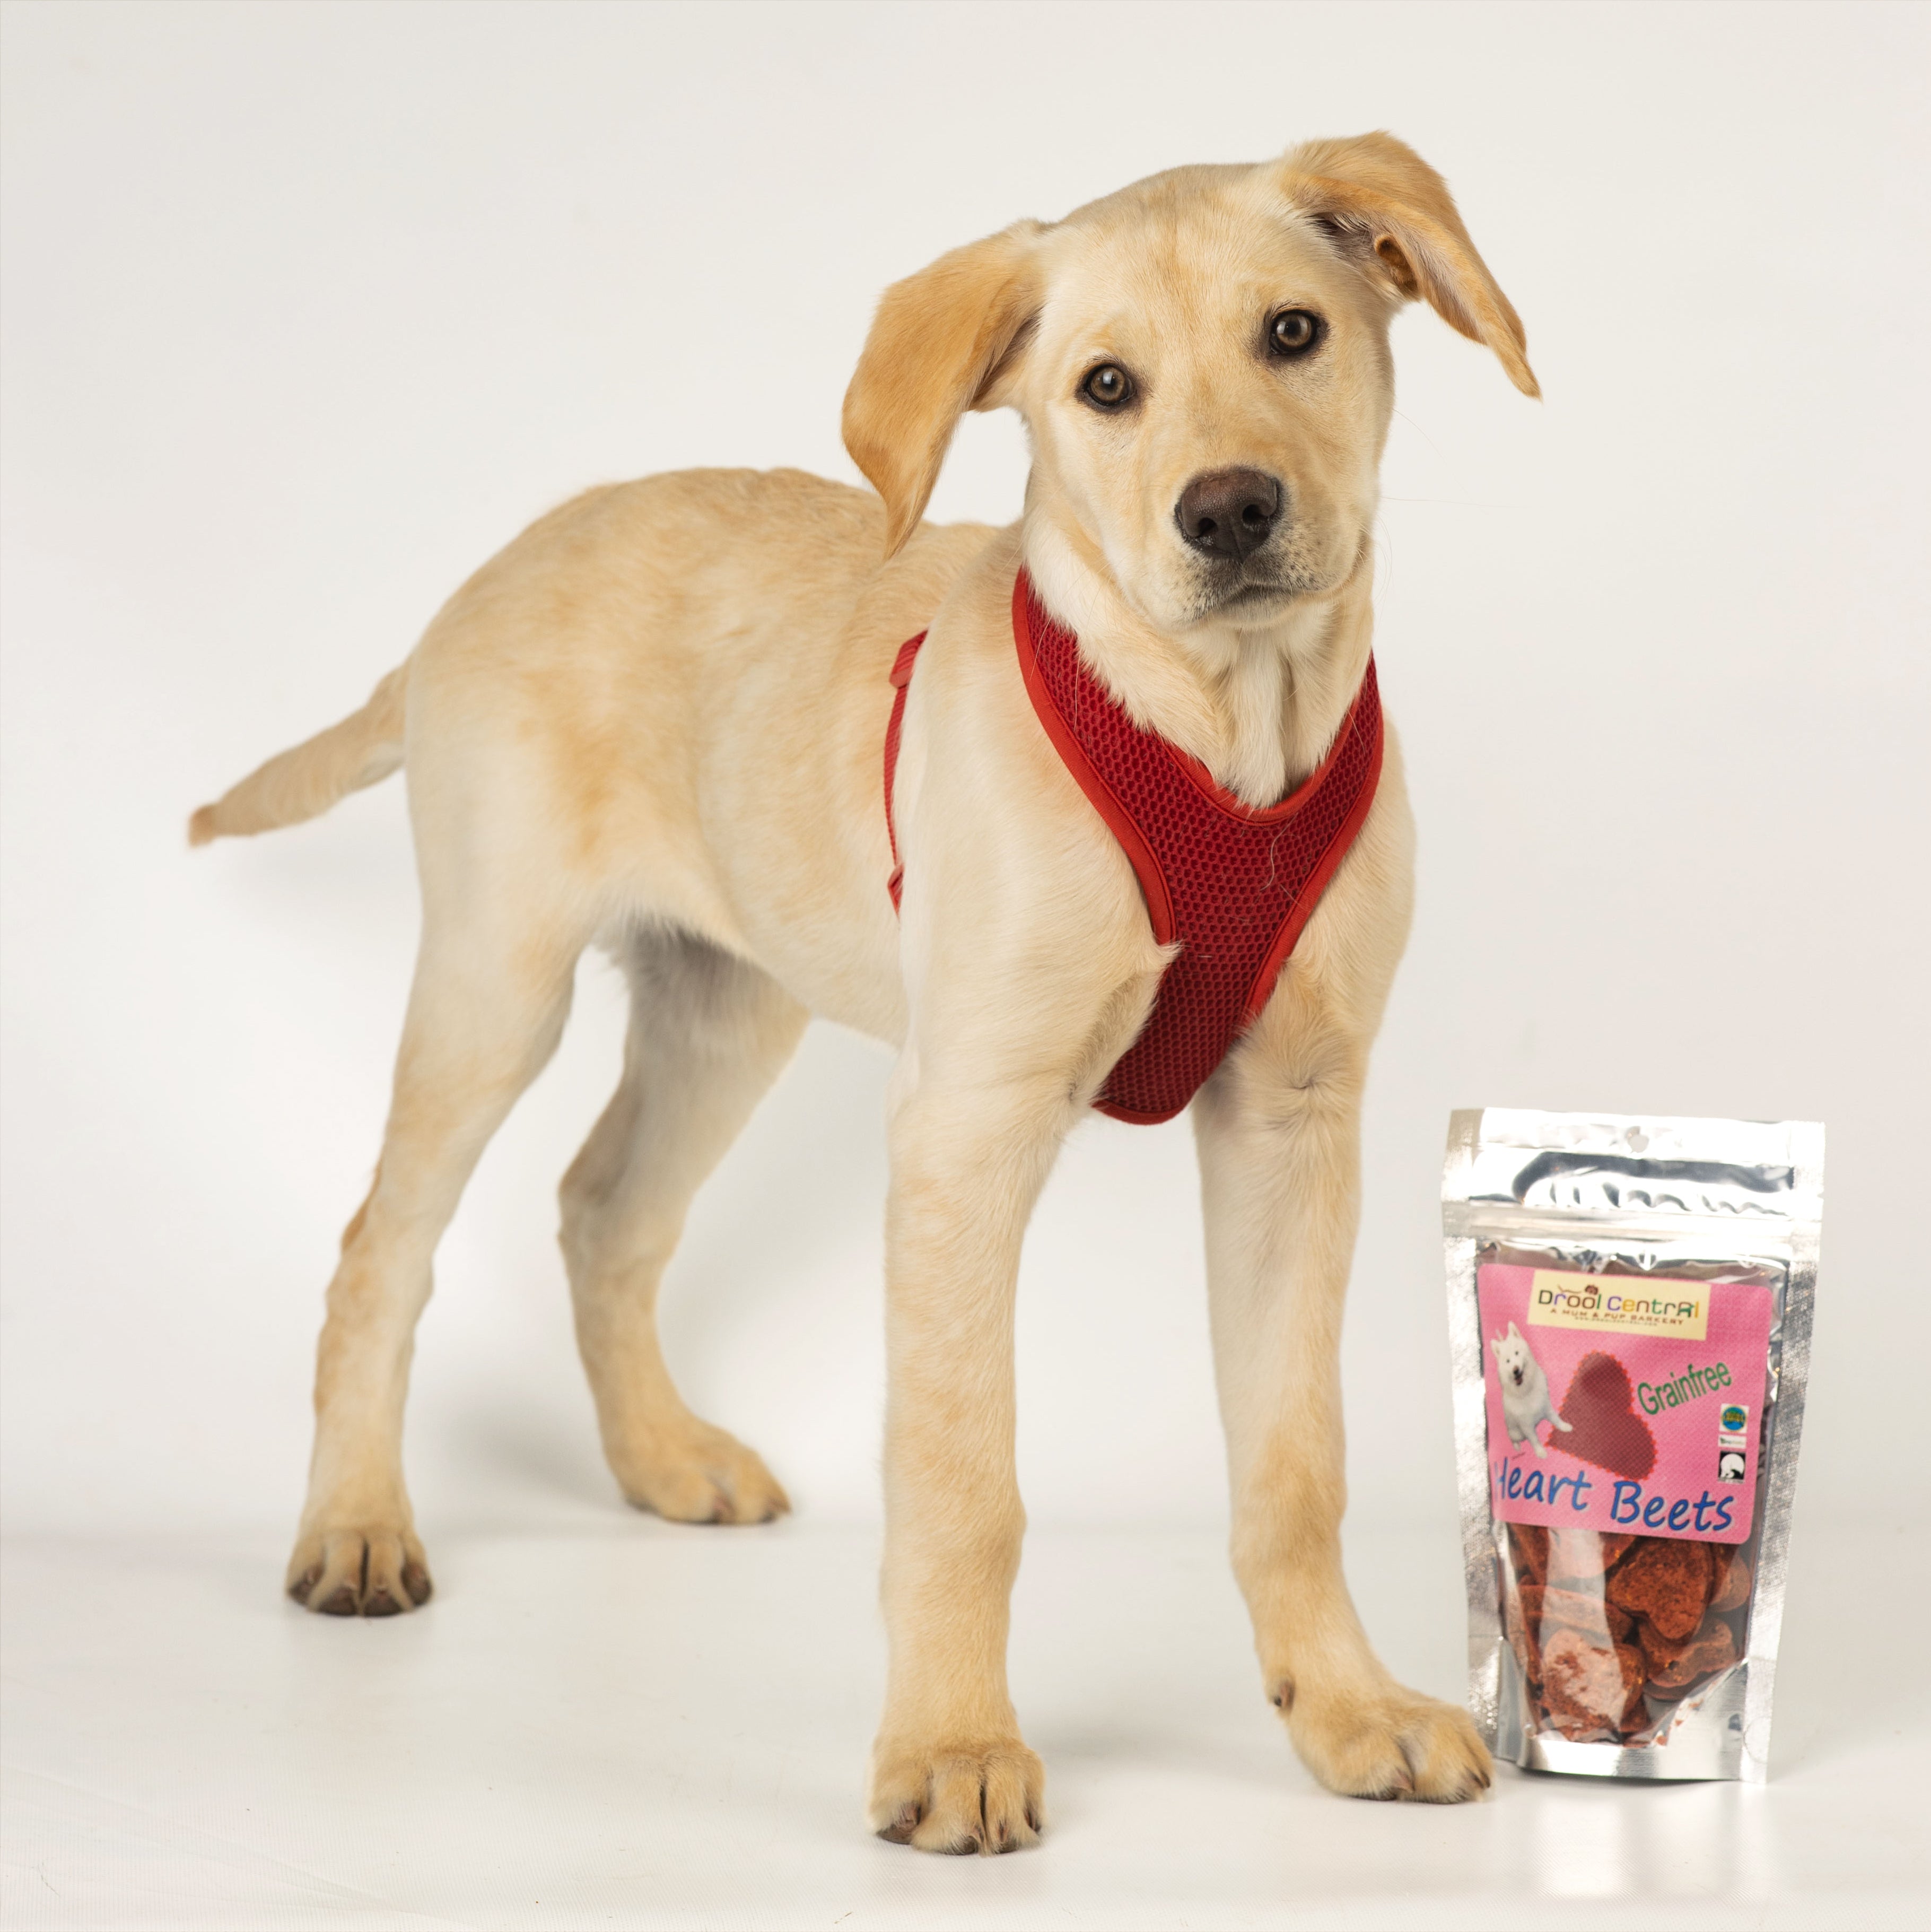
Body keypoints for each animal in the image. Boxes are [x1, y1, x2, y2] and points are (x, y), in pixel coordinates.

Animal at [196, 128, 1537, 1847]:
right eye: (1106, 386)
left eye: (1292, 333)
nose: (1230, 510)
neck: (1221, 734)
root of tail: (479, 579)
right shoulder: (969, 1127)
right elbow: (963, 1477)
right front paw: (953, 1744)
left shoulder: (1292, 1117)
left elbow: (1294, 1460)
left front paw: (1344, 1708)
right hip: (497, 983)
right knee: (381, 1248)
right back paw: (357, 1526)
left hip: (725, 1006)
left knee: (603, 1208)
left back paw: (661, 1459)